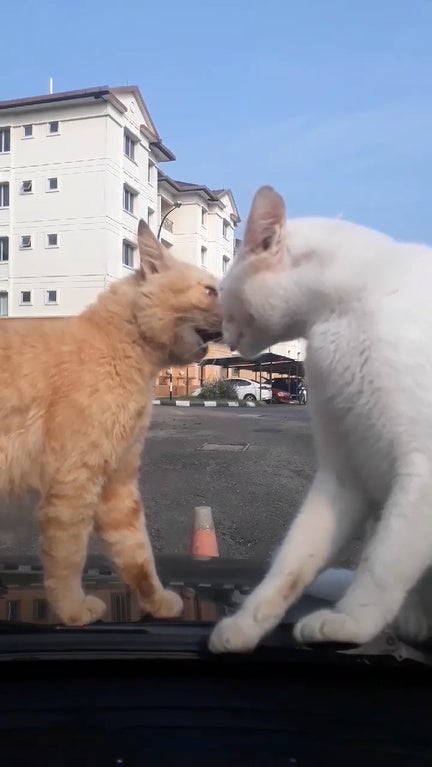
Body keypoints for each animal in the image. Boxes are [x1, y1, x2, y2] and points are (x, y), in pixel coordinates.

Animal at [0, 219, 221, 628]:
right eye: (211, 290)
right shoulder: (74, 480)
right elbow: (68, 557)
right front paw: (72, 610)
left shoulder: (118, 480)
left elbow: (137, 552)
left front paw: (156, 602)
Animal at [209, 184, 432, 656]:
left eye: (223, 295)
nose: (225, 337)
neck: (339, 316)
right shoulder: (342, 477)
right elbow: (293, 561)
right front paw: (247, 624)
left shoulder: (422, 471)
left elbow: (381, 566)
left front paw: (351, 623)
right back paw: (414, 621)